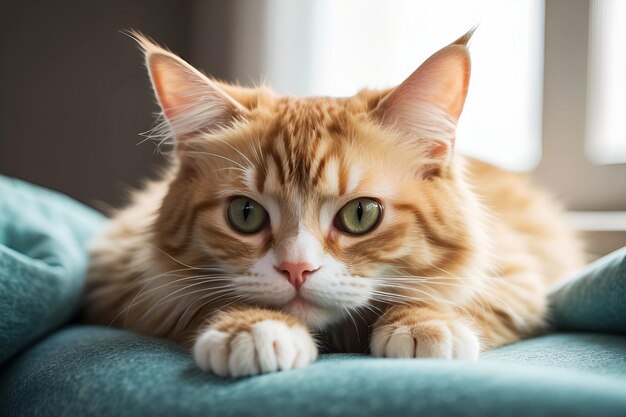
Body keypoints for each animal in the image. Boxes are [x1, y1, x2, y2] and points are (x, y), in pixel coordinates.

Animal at [83, 31, 580, 376]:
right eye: (245, 214)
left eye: (360, 215)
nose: (297, 270)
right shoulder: (128, 282)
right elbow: (201, 302)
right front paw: (253, 326)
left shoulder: (518, 276)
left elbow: (450, 297)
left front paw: (423, 323)